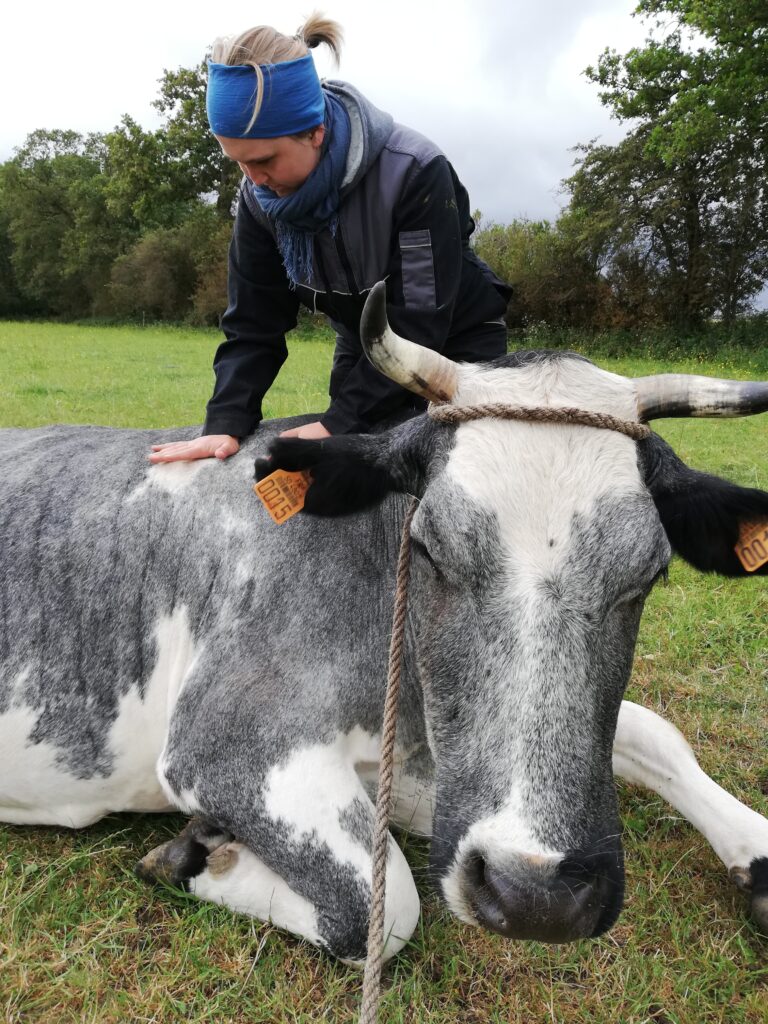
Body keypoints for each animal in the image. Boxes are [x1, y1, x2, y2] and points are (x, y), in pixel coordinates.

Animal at [1, 282, 767, 966]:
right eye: (429, 546)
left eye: (651, 572)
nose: (538, 895)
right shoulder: (225, 743)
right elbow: (386, 906)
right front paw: (190, 854)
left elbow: (654, 732)